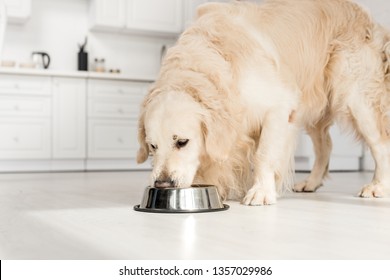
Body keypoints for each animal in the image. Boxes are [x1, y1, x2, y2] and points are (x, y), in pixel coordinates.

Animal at [136, 0, 390, 206]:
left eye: (182, 142)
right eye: (152, 146)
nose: (162, 183)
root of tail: (364, 13)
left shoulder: (279, 107)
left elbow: (264, 155)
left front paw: (261, 191)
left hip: (355, 98)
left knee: (380, 144)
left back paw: (377, 186)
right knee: (325, 145)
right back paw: (311, 182)